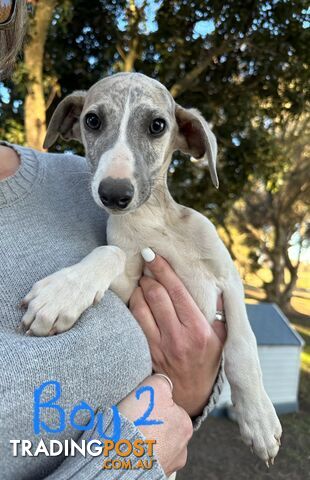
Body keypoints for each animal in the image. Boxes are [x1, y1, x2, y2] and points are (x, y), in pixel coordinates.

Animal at [21, 72, 282, 464]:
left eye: (157, 125)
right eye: (92, 120)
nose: (114, 194)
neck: (155, 221)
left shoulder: (229, 278)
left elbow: (242, 346)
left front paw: (259, 419)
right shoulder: (129, 288)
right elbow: (110, 252)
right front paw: (62, 293)